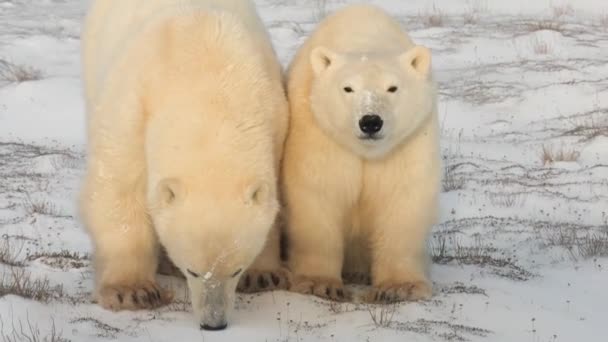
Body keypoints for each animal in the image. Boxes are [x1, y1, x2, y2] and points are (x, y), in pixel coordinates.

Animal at [80, 0, 288, 332]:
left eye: (236, 270)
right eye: (192, 270)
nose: (214, 323)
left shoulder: (274, 114)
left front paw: (264, 274)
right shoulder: (133, 108)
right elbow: (119, 188)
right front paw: (132, 291)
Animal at [282, 2, 440, 302]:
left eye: (392, 87)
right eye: (348, 88)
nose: (370, 121)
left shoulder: (408, 141)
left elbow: (401, 198)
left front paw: (399, 287)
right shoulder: (321, 134)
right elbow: (319, 193)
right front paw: (319, 283)